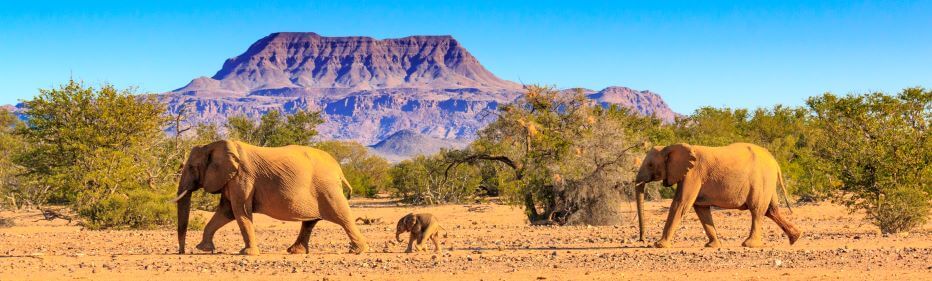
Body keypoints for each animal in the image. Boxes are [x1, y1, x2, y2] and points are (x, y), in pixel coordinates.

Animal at [171, 139, 368, 254]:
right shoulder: (231, 180)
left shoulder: (242, 178)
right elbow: (226, 212)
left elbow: (240, 212)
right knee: (310, 221)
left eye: (191, 167)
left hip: (327, 189)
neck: (213, 146)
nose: (182, 252)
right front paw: (204, 249)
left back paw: (358, 250)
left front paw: (247, 253)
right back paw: (294, 251)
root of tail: (339, 168)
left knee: (342, 215)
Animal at [628, 142, 804, 247]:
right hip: (767, 182)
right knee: (771, 211)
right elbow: (701, 209)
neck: (672, 147)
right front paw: (712, 246)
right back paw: (795, 238)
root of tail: (775, 161)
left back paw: (748, 244)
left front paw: (659, 245)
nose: (642, 240)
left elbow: (681, 204)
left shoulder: (692, 174)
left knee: (757, 210)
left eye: (651, 165)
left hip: (761, 179)